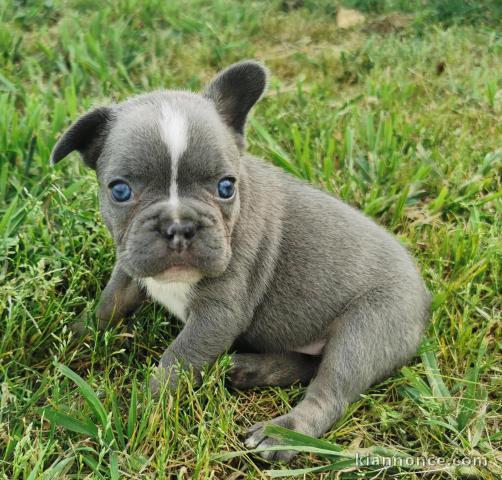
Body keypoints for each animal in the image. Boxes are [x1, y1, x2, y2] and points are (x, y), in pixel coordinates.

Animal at [52, 60, 432, 462]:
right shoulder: (130, 265)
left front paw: (133, 411)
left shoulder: (217, 316)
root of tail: (425, 299)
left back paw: (282, 433)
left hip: (368, 328)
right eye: (120, 190)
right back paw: (246, 370)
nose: (179, 225)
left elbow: (174, 363)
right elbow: (108, 305)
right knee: (308, 365)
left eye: (226, 187)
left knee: (331, 389)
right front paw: (73, 335)